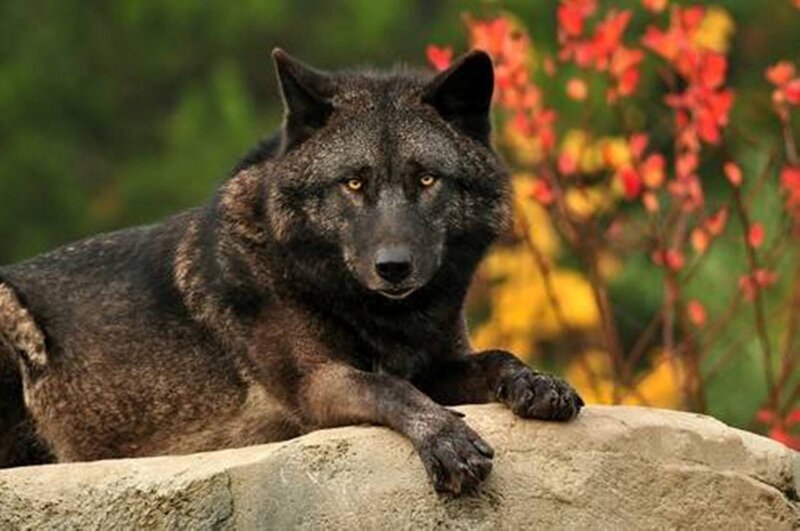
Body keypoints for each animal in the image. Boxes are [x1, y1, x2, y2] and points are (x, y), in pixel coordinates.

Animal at [0, 49, 583, 495]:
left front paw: (536, 382)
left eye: (426, 179)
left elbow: (494, 357)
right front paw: (445, 441)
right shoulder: (316, 387)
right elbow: (387, 388)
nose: (393, 268)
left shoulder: (436, 364)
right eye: (353, 183)